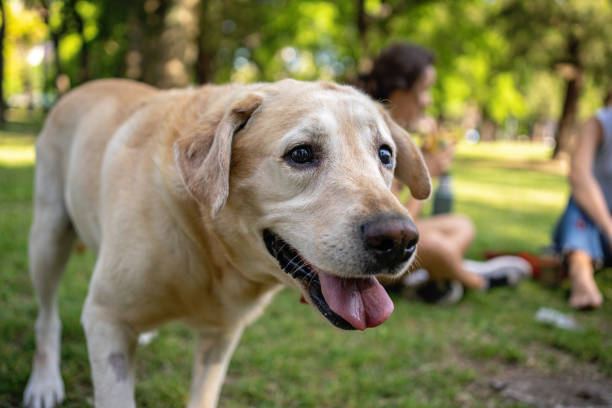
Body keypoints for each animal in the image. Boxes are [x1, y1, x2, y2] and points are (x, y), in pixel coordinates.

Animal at [23, 78, 430, 406]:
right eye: (301, 153)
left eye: (385, 154)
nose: (399, 239)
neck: (209, 249)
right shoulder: (104, 319)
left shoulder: (220, 337)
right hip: (48, 235)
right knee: (45, 319)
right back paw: (44, 382)